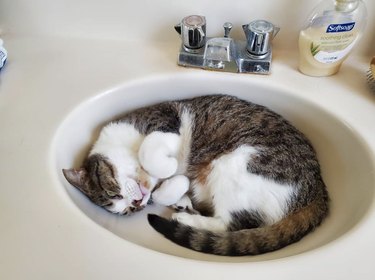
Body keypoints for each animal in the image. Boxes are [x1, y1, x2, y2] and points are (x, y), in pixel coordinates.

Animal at [63, 94, 330, 256]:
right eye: (128, 211)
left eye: (114, 193)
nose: (137, 203)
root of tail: (318, 188)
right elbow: (168, 188)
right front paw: (176, 190)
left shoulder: (165, 121)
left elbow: (150, 151)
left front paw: (167, 168)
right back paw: (186, 211)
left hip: (235, 162)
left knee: (231, 224)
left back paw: (184, 219)